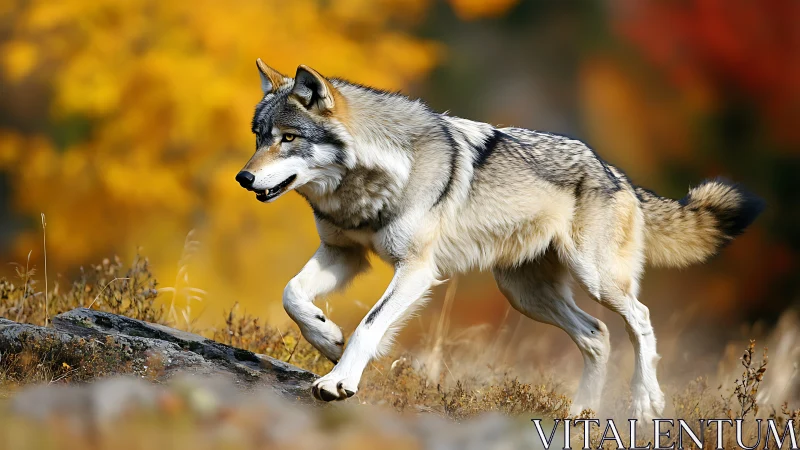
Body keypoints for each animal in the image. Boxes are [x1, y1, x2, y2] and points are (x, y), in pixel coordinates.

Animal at [236, 59, 764, 421]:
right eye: (258, 135)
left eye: (288, 138)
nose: (244, 177)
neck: (374, 176)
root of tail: (619, 175)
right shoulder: (343, 253)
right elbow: (293, 296)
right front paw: (327, 338)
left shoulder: (416, 269)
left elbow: (369, 324)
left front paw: (339, 380)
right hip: (523, 293)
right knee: (598, 335)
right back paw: (582, 416)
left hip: (594, 280)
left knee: (641, 320)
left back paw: (645, 403)